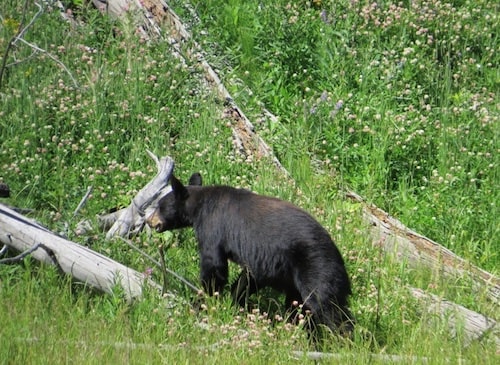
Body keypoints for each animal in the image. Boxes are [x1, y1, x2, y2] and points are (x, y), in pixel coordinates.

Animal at [146, 172, 354, 334]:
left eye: (159, 205)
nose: (149, 220)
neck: (200, 206)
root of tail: (339, 258)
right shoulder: (262, 262)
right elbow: (247, 279)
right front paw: (234, 302)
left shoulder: (213, 227)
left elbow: (214, 266)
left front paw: (200, 303)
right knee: (300, 307)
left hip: (315, 267)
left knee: (327, 306)